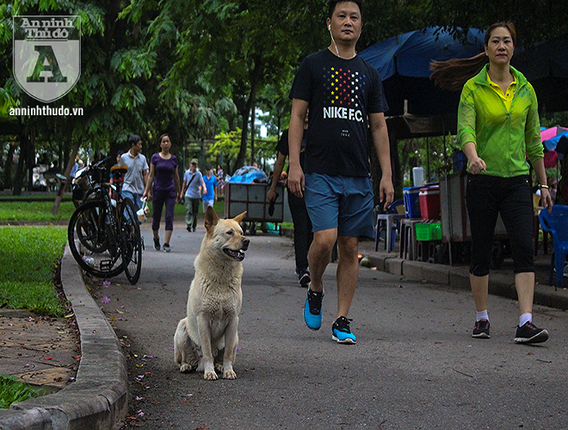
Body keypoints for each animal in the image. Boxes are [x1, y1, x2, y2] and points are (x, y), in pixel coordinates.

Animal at [173, 207, 248, 380]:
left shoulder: (233, 319)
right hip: (181, 330)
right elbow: (207, 350)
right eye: (229, 232)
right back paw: (187, 366)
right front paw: (209, 372)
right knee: (184, 359)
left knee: (222, 355)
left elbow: (227, 353)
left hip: (236, 336)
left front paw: (228, 370)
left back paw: (219, 366)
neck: (221, 279)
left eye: (241, 232)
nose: (247, 241)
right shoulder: (203, 319)